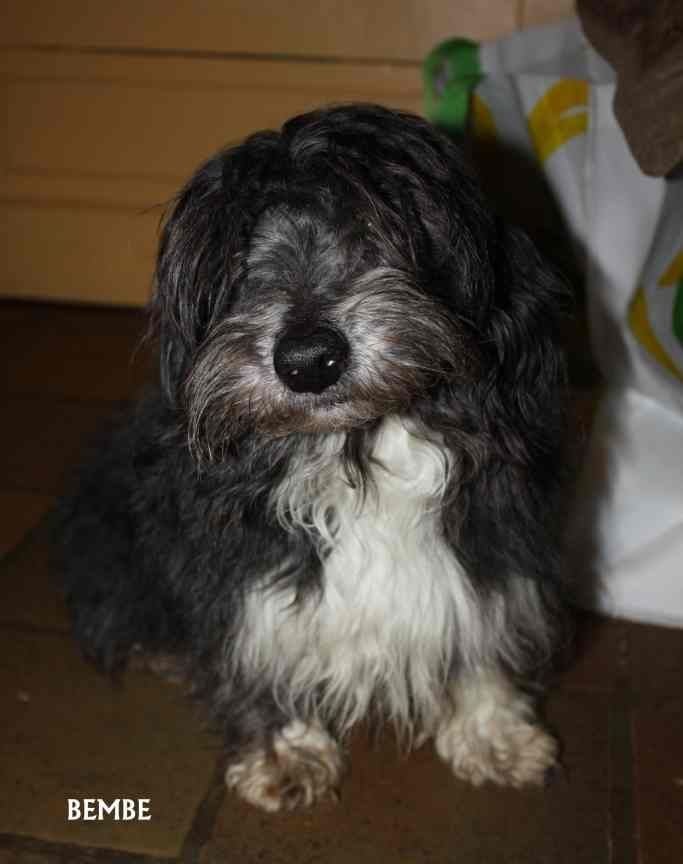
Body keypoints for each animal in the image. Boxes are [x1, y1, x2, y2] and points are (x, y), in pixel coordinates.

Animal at [60, 104, 570, 812]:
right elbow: (258, 651)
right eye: (237, 255)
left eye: (379, 227)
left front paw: (492, 732)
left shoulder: (495, 537)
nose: (307, 360)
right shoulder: (241, 573)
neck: (356, 451)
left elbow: (484, 633)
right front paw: (284, 749)